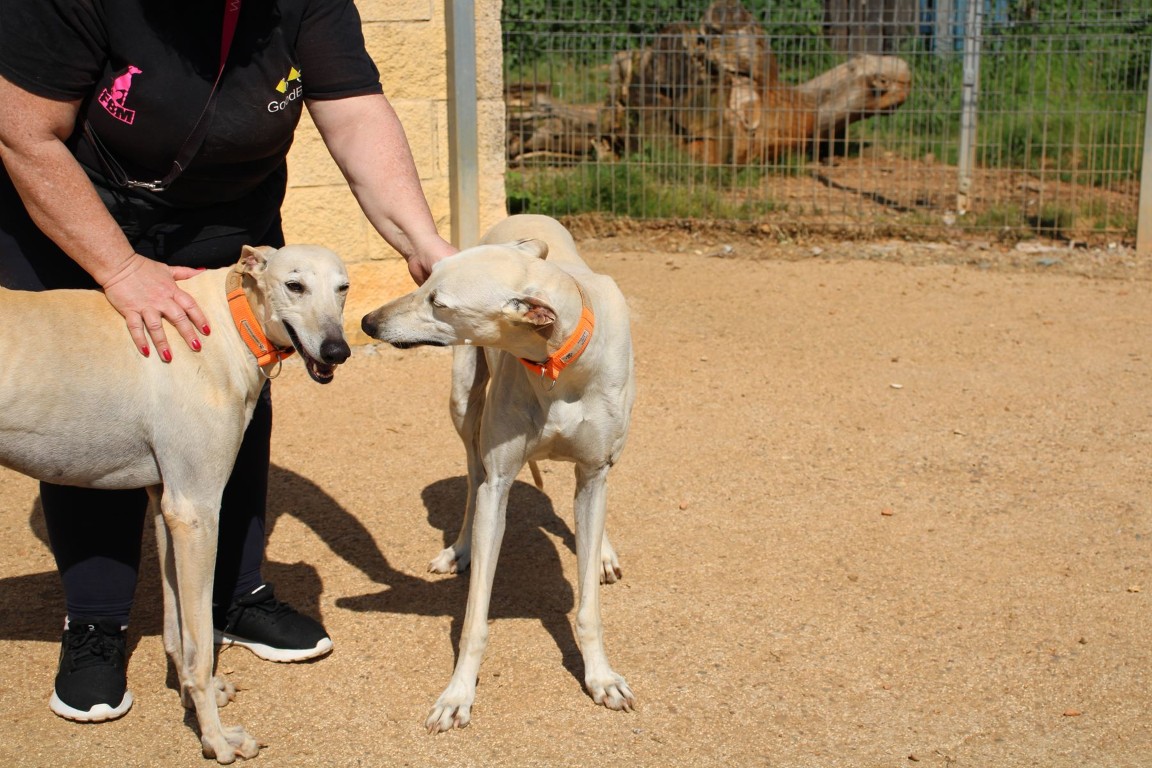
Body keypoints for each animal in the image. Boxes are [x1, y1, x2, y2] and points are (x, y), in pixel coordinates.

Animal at [0, 244, 351, 763]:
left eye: (343, 287)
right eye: (294, 285)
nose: (336, 351)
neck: (227, 324)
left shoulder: (169, 506)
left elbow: (177, 629)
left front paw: (188, 696)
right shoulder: (198, 512)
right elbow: (200, 645)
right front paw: (216, 738)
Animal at [361, 213, 636, 732]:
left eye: (438, 302)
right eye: (424, 280)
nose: (367, 321)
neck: (556, 365)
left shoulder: (593, 472)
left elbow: (588, 606)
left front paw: (602, 678)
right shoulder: (500, 483)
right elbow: (474, 618)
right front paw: (457, 695)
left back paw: (603, 552)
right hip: (464, 405)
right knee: (473, 478)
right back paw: (460, 549)